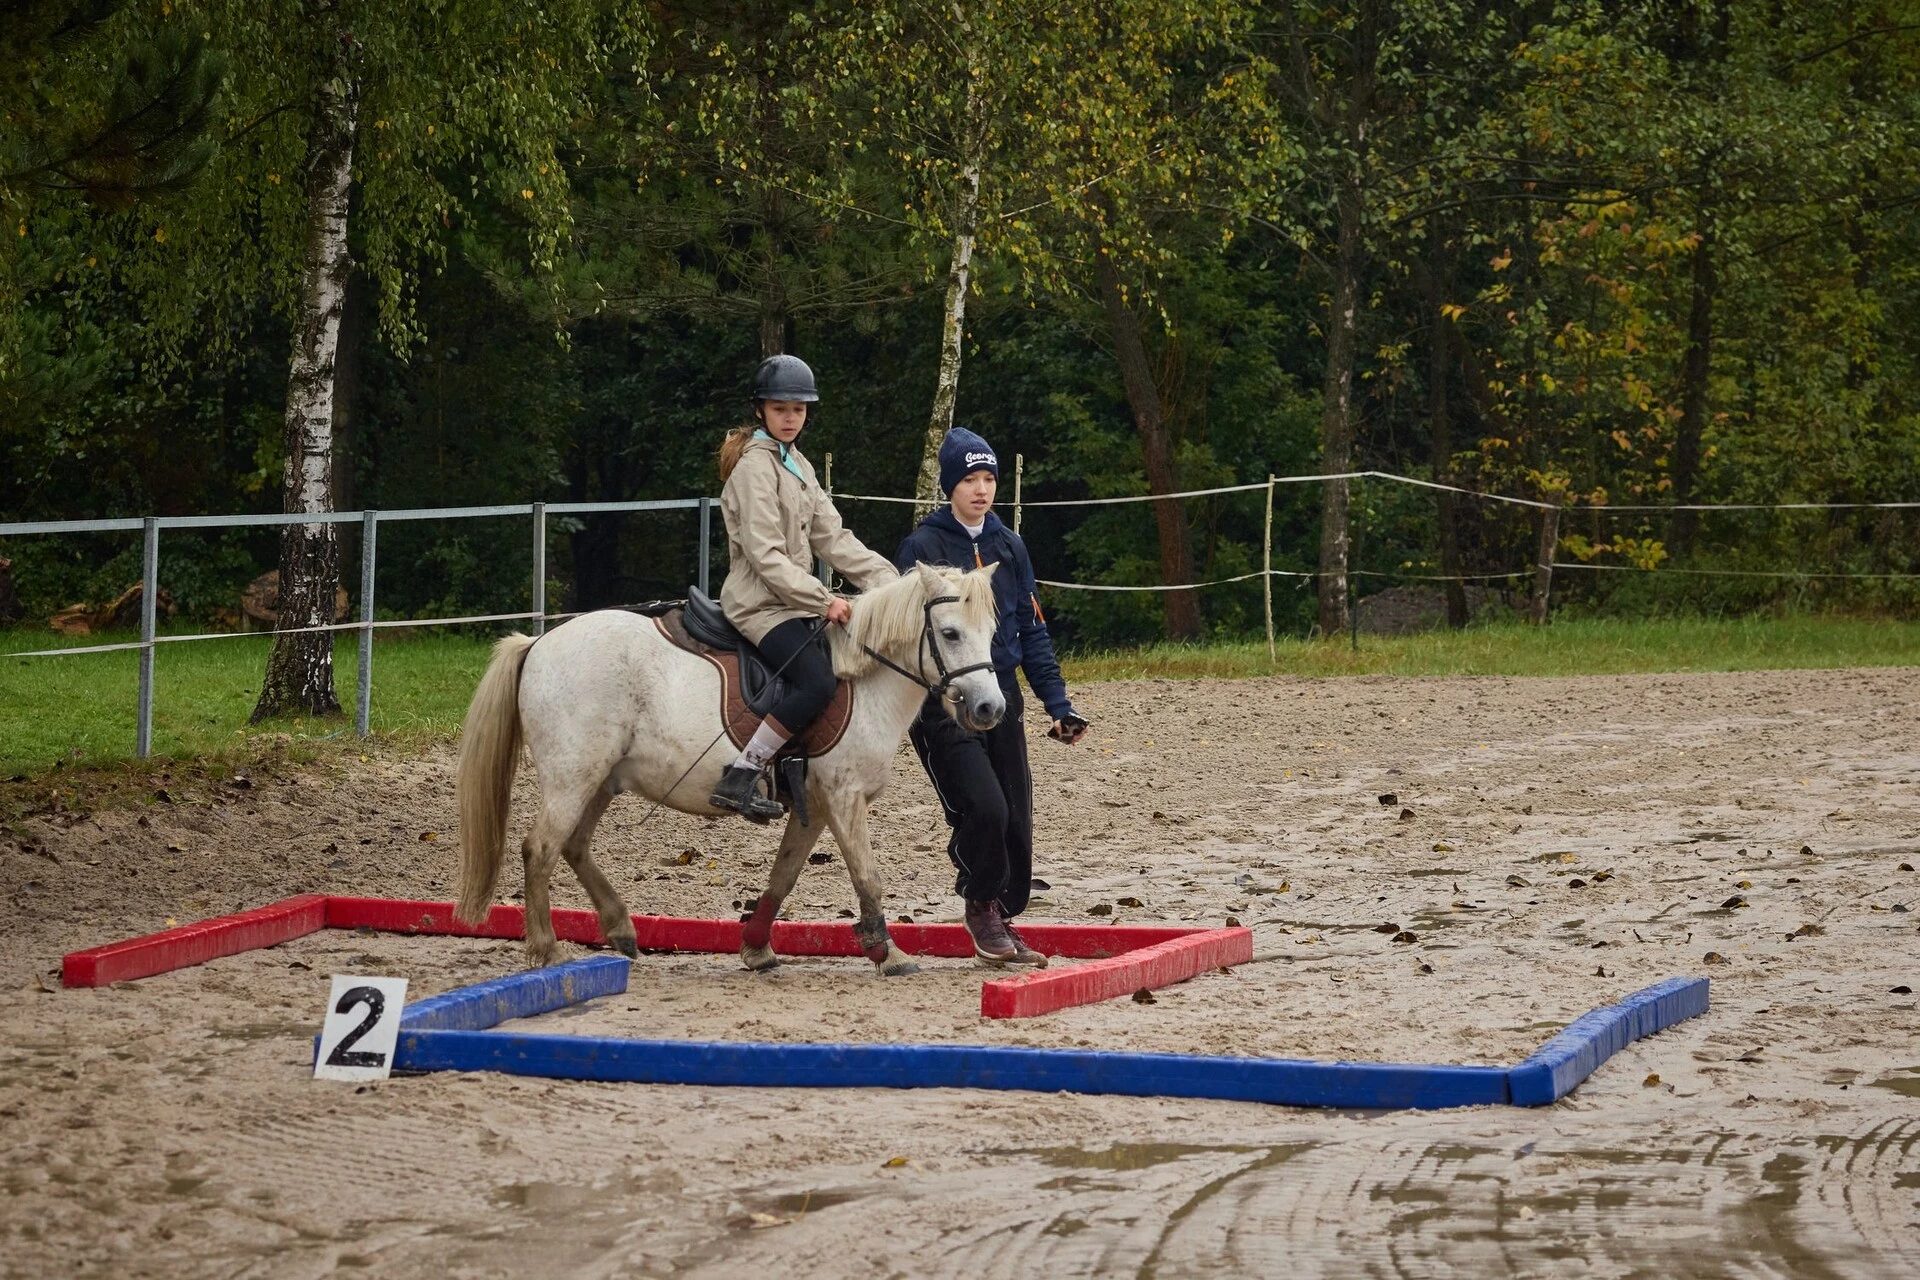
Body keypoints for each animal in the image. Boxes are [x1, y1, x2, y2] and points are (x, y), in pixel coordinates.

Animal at [451, 564, 1006, 974]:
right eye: (950, 633)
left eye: (992, 632)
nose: (989, 709)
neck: (863, 678)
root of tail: (539, 643)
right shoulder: (844, 797)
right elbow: (867, 876)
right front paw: (889, 955)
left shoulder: (816, 803)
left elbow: (784, 875)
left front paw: (757, 947)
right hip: (572, 776)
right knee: (540, 849)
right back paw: (546, 948)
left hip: (600, 780)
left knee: (573, 846)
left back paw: (621, 930)